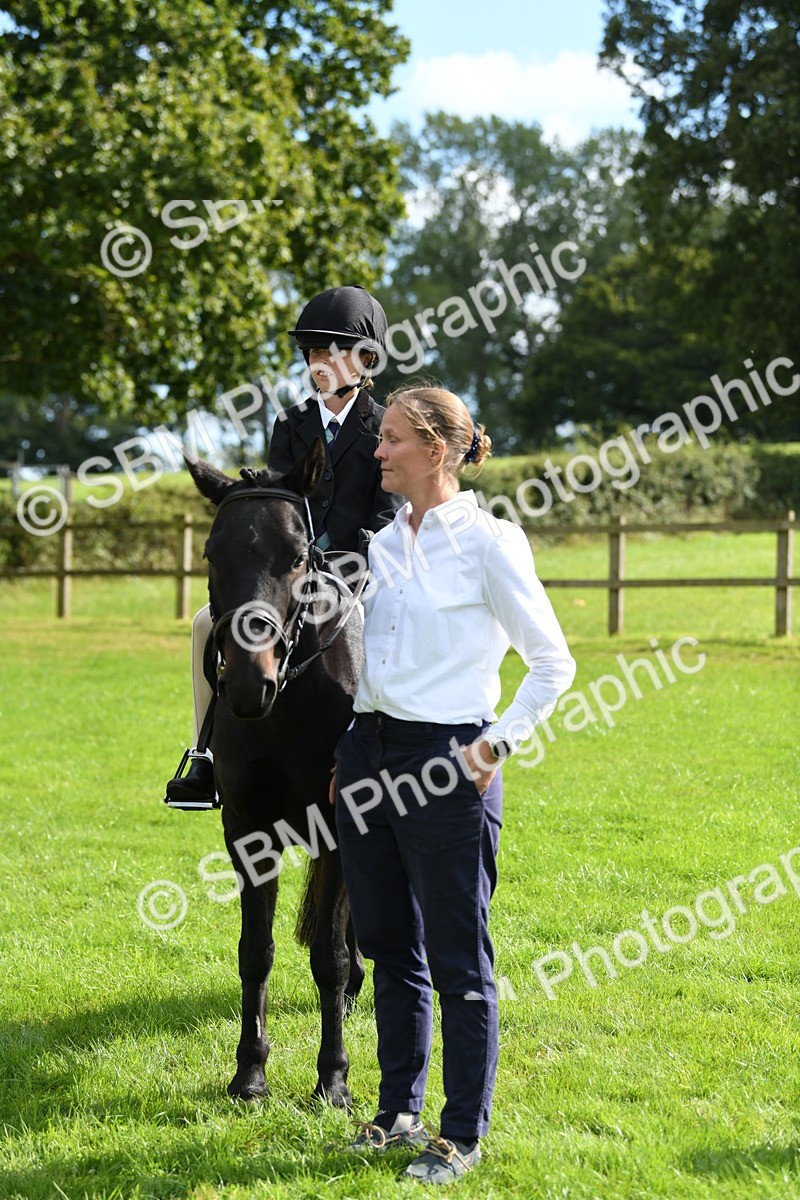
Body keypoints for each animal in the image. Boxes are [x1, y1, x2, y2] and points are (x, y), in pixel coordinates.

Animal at [185, 438, 365, 1106]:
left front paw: (333, 1081)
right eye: (212, 554)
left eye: (295, 558)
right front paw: (250, 1074)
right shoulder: (248, 828)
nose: (246, 684)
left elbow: (328, 956)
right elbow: (254, 951)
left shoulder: (337, 825)